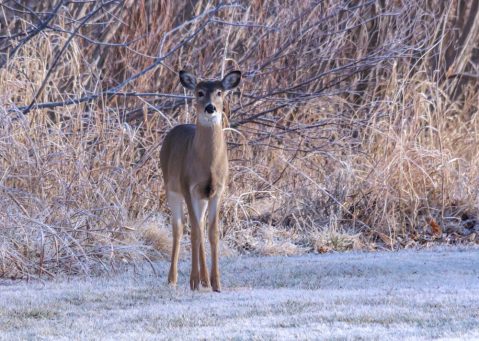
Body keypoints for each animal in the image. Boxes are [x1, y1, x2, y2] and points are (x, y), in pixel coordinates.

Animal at [161, 69, 242, 292]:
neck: (208, 165)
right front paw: (193, 281)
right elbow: (194, 231)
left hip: (202, 197)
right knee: (179, 228)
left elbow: (212, 232)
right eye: (199, 92)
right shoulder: (188, 186)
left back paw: (205, 279)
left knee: (201, 225)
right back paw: (173, 279)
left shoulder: (217, 190)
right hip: (171, 188)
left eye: (219, 92)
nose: (210, 107)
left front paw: (216, 283)